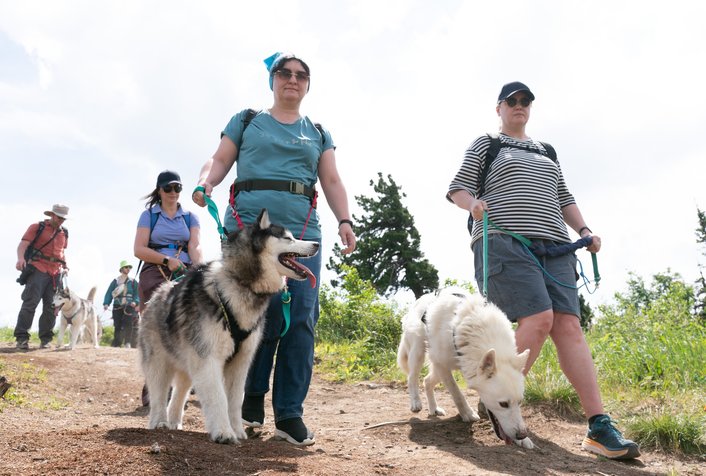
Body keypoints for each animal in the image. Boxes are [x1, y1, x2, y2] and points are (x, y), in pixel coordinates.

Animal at [396, 288, 532, 448]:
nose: (522, 434)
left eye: (520, 402)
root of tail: (420, 300)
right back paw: (416, 402)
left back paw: (434, 409)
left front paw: (524, 441)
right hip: (418, 352)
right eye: (503, 404)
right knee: (412, 377)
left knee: (427, 381)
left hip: (436, 367)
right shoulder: (442, 365)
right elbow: (457, 394)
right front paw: (467, 413)